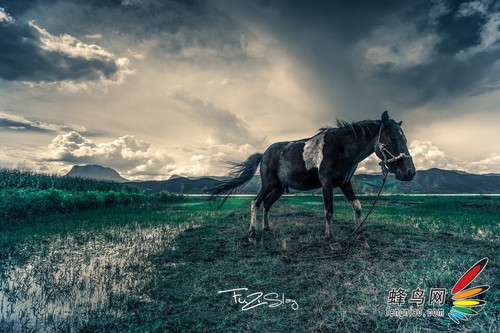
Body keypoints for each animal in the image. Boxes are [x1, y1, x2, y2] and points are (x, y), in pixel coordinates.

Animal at [209, 110, 416, 248]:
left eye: (404, 139)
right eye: (392, 139)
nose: (410, 172)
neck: (342, 148)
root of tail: (264, 154)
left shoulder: (345, 183)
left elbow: (357, 206)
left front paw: (361, 237)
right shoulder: (327, 184)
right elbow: (329, 210)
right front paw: (332, 240)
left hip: (279, 188)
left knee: (267, 205)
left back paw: (266, 229)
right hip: (268, 184)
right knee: (255, 203)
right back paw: (252, 235)